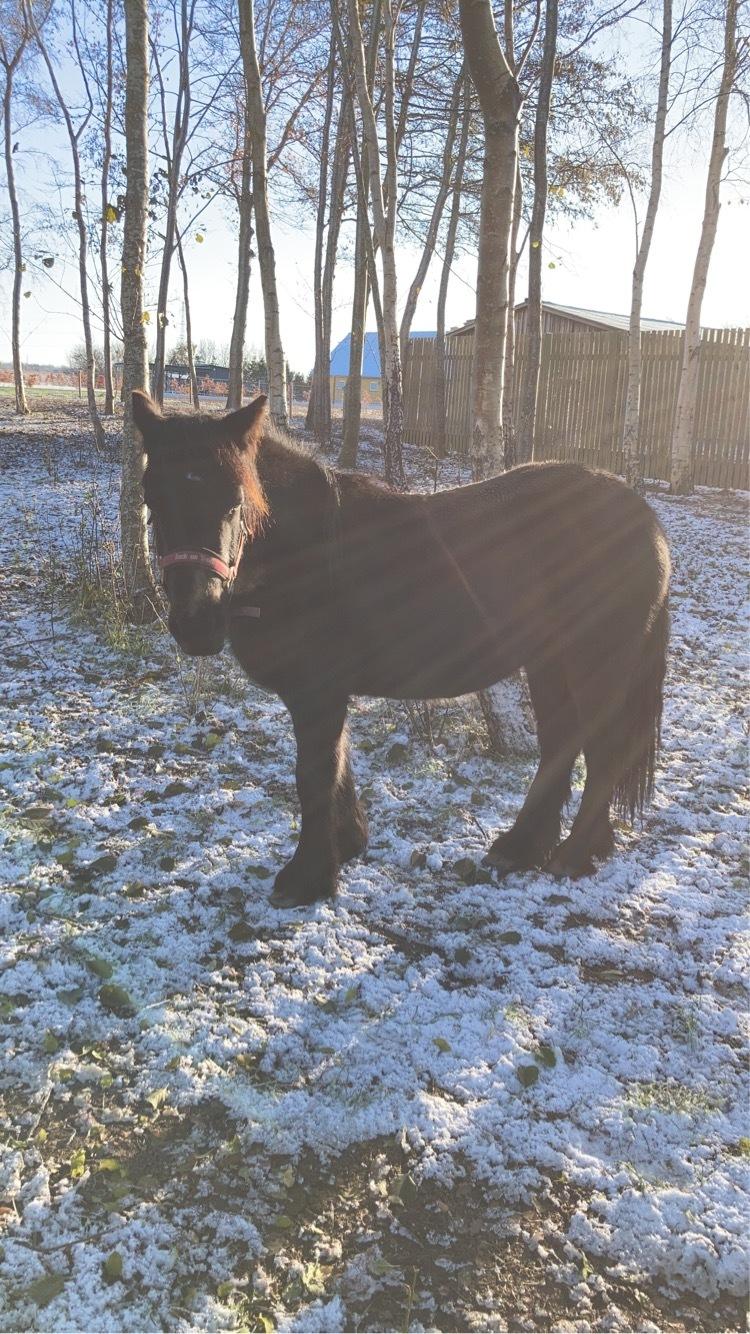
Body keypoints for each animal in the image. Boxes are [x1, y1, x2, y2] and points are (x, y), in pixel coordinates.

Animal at [133, 390, 670, 909]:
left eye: (235, 499)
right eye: (152, 498)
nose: (196, 621)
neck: (308, 552)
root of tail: (645, 520)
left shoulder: (318, 694)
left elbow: (314, 775)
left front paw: (309, 877)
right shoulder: (323, 695)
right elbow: (339, 764)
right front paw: (349, 844)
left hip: (594, 661)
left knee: (602, 750)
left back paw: (576, 854)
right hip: (549, 662)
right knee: (562, 743)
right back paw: (522, 848)